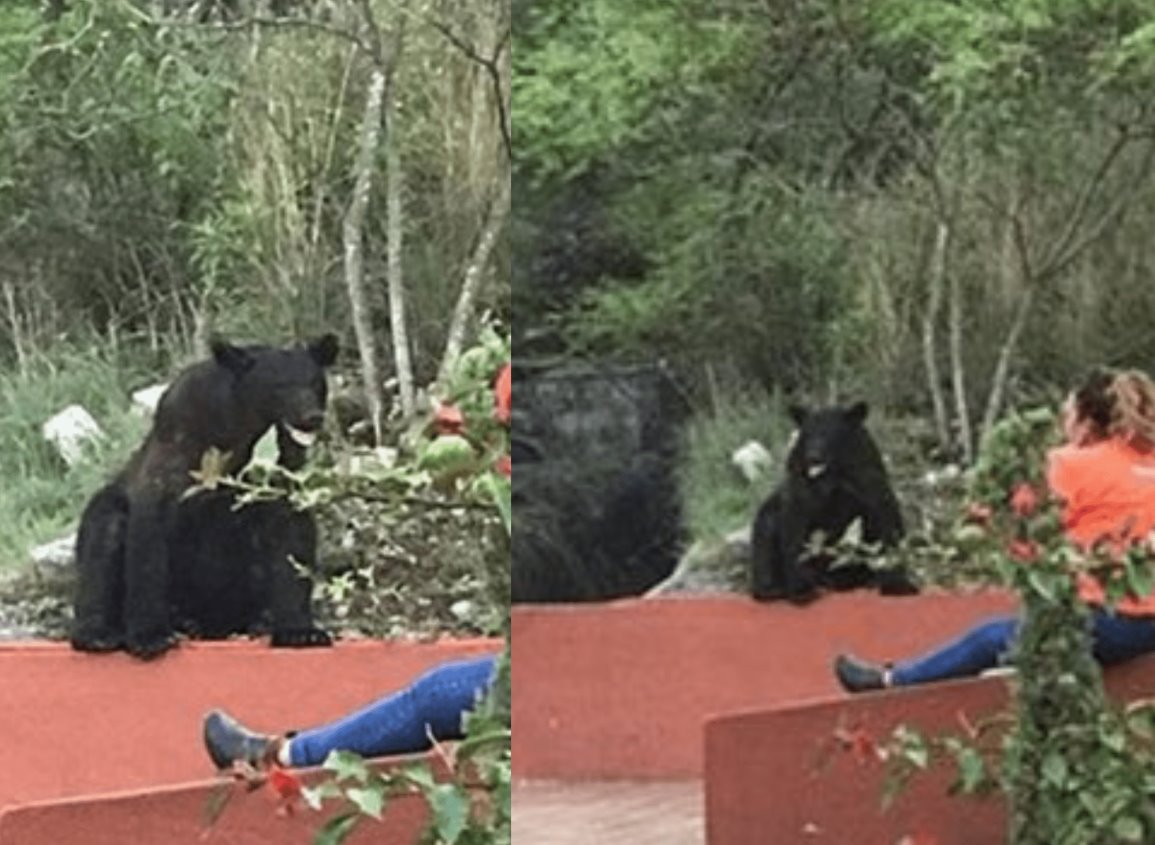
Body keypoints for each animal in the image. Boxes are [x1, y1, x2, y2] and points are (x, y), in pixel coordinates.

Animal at [71, 334, 337, 660]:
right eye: (280, 385)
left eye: (315, 383)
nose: (311, 417)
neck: (237, 434)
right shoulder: (175, 458)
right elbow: (149, 541)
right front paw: (150, 636)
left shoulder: (279, 471)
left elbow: (291, 537)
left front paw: (301, 632)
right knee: (103, 540)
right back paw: (100, 634)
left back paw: (259, 621)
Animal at [748, 401, 919, 600]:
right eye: (807, 434)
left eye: (830, 434)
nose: (813, 456)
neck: (832, 476)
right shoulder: (800, 490)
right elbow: (795, 530)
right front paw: (801, 589)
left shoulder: (868, 480)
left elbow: (887, 521)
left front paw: (898, 584)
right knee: (765, 536)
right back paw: (772, 588)